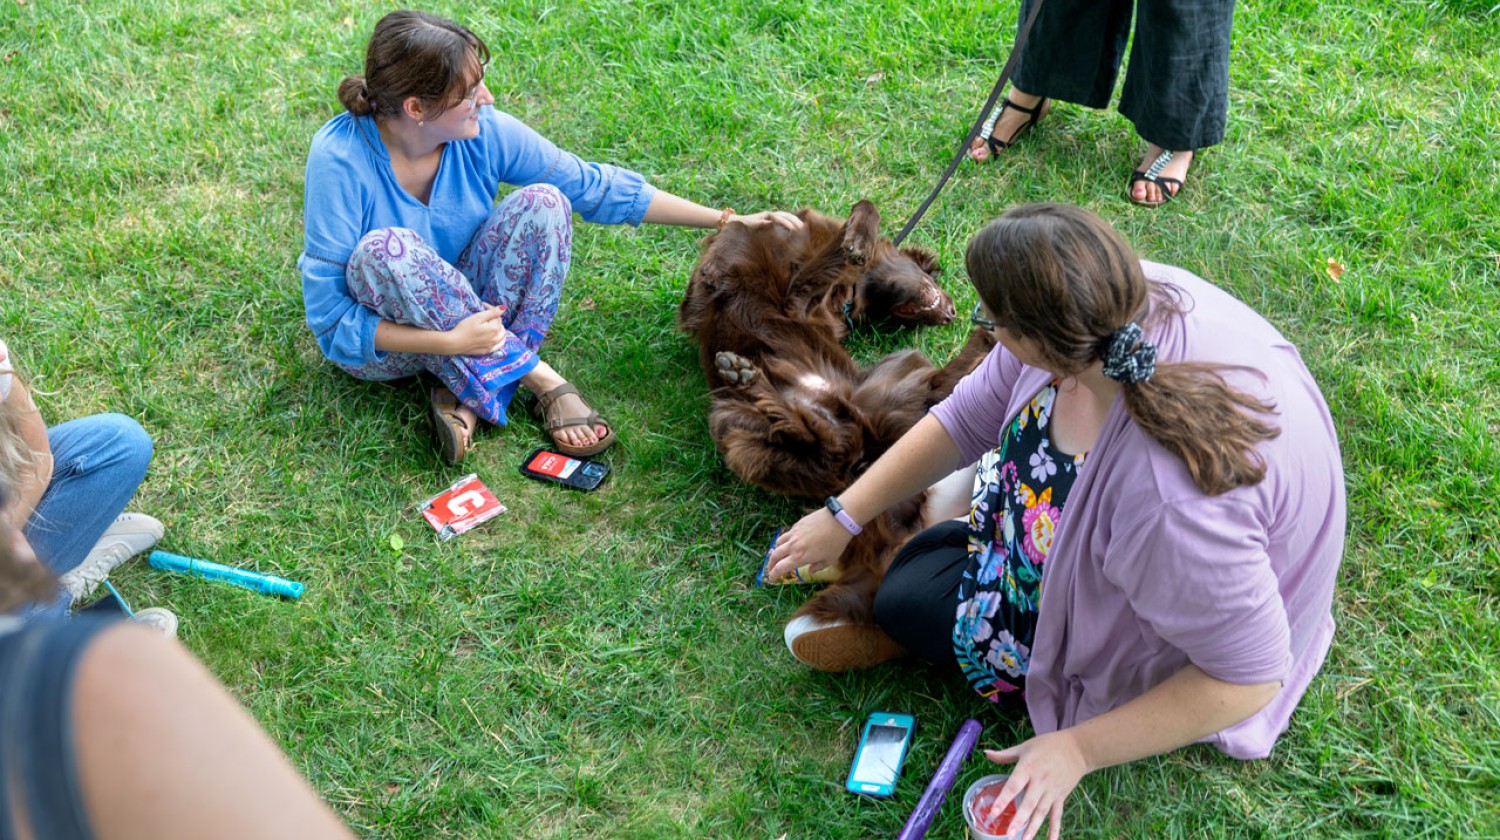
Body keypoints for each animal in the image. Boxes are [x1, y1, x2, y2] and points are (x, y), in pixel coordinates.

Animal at [681, 202, 996, 636]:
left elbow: (850, 229)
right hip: (732, 422)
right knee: (827, 438)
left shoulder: (800, 298)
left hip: (891, 379)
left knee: (840, 436)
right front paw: (855, 241)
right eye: (901, 317)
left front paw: (855, 242)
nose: (950, 313)